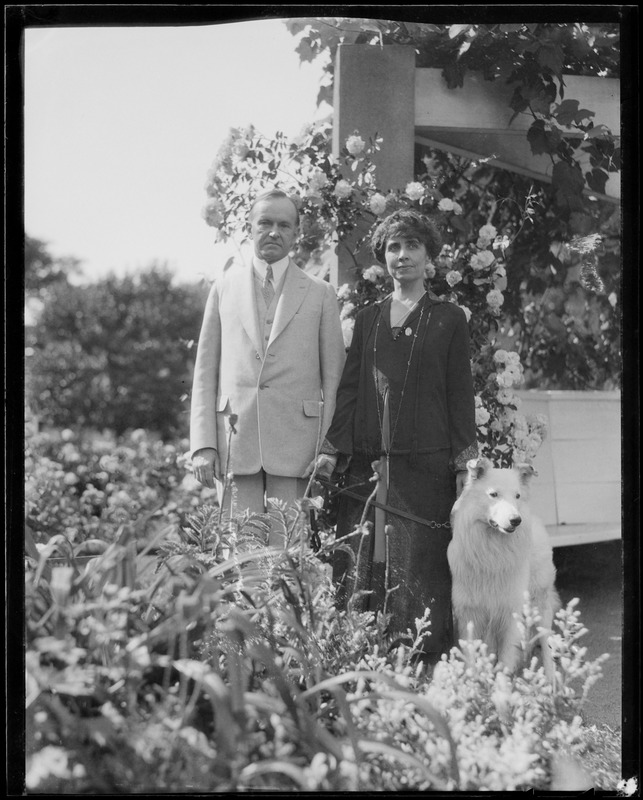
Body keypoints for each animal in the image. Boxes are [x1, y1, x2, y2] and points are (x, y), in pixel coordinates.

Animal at [448, 456, 560, 676]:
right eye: (493, 494)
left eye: (517, 496)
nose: (516, 520)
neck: (492, 551)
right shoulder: (470, 613)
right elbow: (471, 658)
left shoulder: (510, 612)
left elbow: (506, 658)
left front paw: (503, 682)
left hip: (539, 603)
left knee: (545, 642)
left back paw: (551, 679)